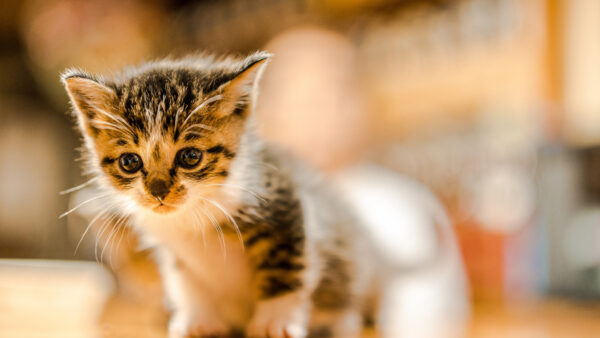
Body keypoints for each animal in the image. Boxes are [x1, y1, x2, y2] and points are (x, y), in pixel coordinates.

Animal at [62, 51, 380, 336]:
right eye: (129, 162)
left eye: (190, 157)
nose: (158, 191)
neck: (194, 210)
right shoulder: (175, 250)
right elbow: (186, 282)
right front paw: (199, 321)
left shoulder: (283, 201)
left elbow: (284, 268)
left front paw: (274, 323)